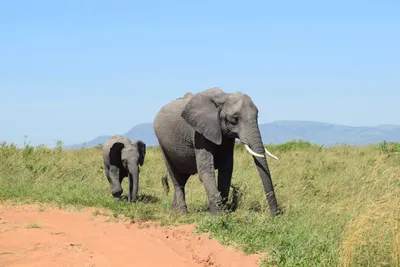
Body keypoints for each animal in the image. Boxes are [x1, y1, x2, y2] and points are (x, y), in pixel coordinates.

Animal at [155, 89, 280, 217]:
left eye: (257, 116)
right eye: (234, 119)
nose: (274, 214)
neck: (224, 97)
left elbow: (226, 169)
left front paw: (224, 212)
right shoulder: (198, 133)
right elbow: (206, 170)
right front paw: (218, 216)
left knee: (182, 179)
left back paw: (173, 211)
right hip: (162, 145)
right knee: (176, 178)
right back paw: (182, 214)